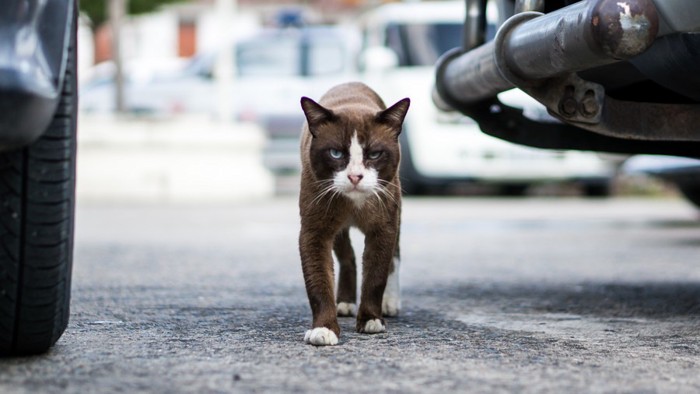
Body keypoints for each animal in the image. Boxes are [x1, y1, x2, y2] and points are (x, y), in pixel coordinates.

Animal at [296, 81, 408, 346]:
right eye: (336, 153)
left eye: (374, 154)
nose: (355, 176)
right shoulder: (315, 231)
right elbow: (318, 281)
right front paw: (323, 330)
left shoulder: (383, 229)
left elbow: (376, 276)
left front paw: (371, 320)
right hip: (337, 229)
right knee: (347, 257)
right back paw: (345, 304)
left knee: (395, 257)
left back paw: (390, 303)